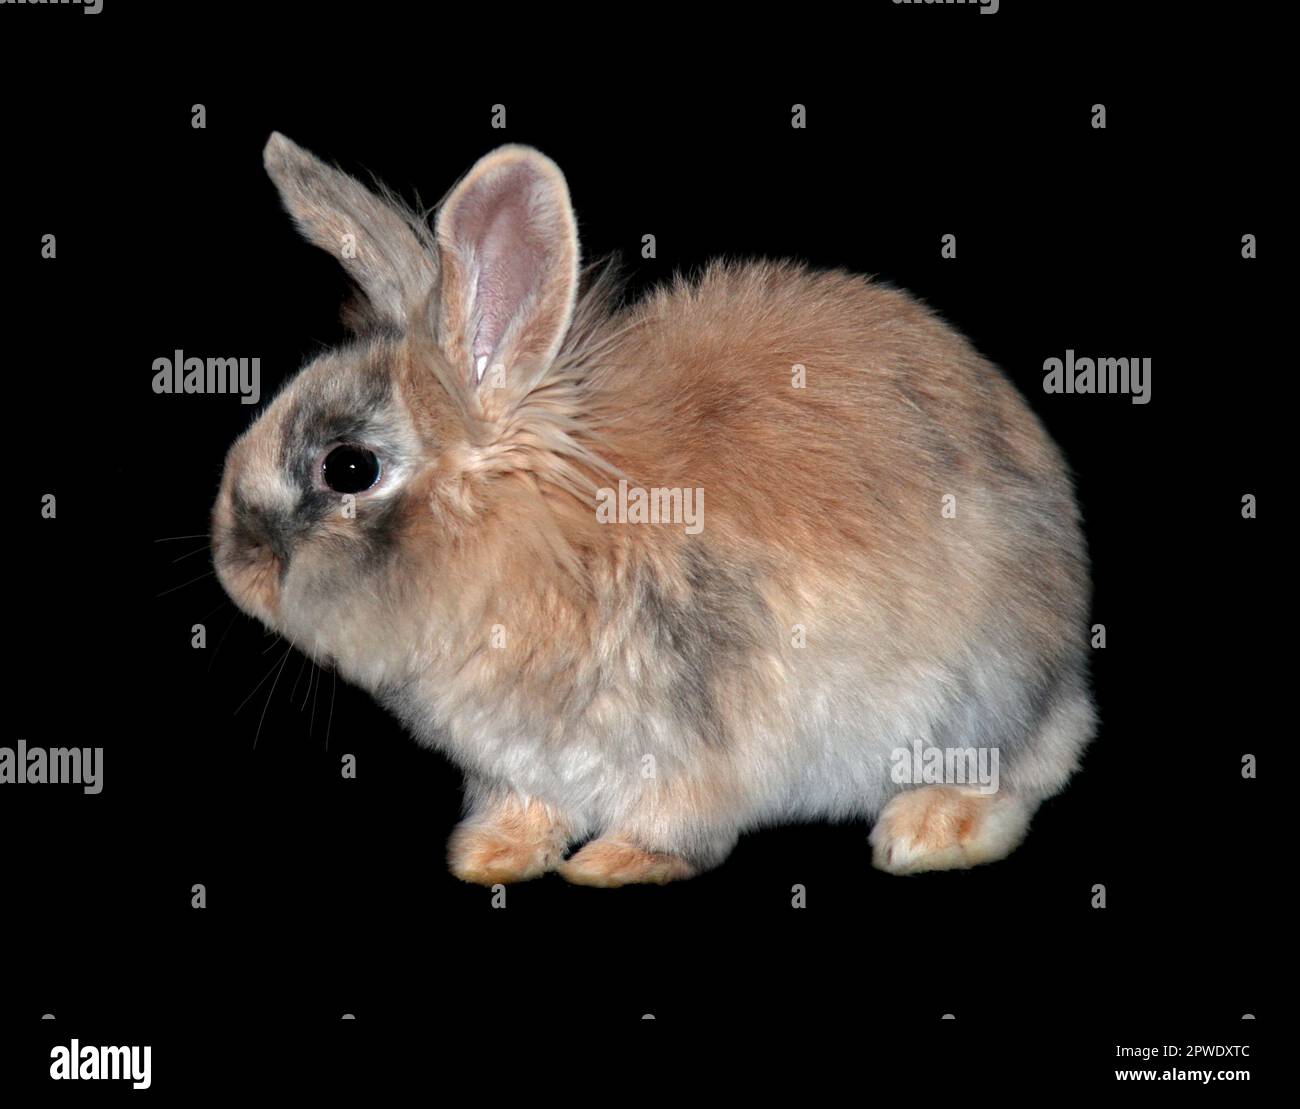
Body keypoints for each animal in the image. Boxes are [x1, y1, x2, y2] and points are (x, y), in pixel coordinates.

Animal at [211, 132, 1095, 887]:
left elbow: (679, 820)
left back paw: (927, 829)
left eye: (349, 467)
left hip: (985, 691)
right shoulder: (517, 766)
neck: (536, 546)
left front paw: (615, 863)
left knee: (1021, 772)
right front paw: (492, 855)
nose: (233, 561)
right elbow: (526, 808)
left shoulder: (691, 739)